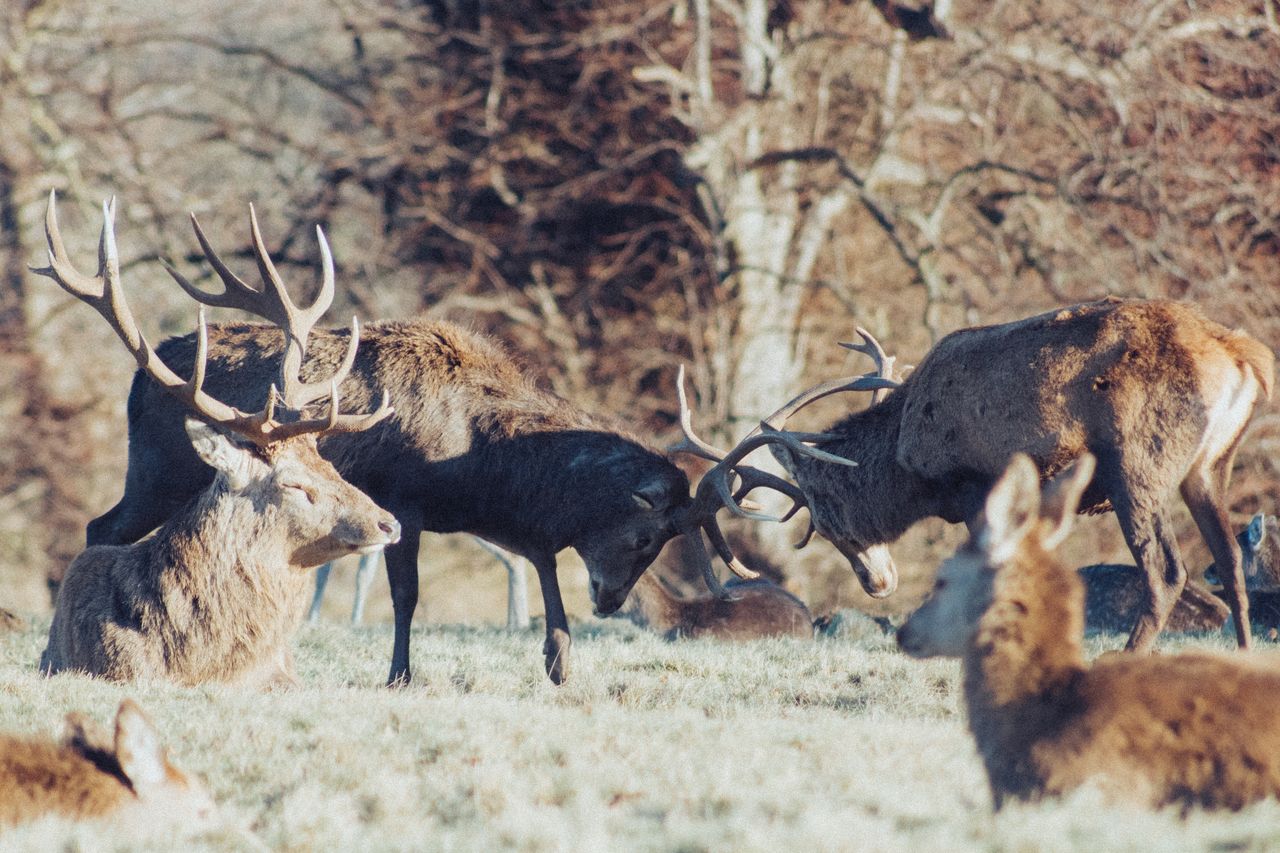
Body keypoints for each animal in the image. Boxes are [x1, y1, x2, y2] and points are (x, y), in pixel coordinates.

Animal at [714, 299, 1274, 653]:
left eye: (823, 519)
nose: (877, 584)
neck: (907, 458)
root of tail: (1244, 358)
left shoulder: (975, 485)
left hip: (1138, 464)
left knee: (1168, 571)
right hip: (1209, 466)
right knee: (1230, 560)